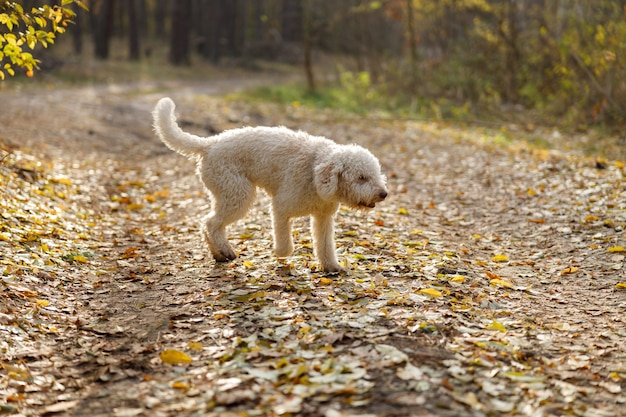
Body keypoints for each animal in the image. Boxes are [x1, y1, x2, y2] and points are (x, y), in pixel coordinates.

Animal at [152, 97, 386, 272]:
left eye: (376, 174)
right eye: (361, 177)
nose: (383, 194)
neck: (314, 172)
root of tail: (209, 144)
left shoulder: (323, 217)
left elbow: (325, 244)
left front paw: (331, 266)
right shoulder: (281, 207)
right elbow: (284, 241)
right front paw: (280, 252)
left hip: (228, 194)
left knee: (207, 224)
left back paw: (218, 254)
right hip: (237, 193)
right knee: (211, 223)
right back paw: (225, 250)